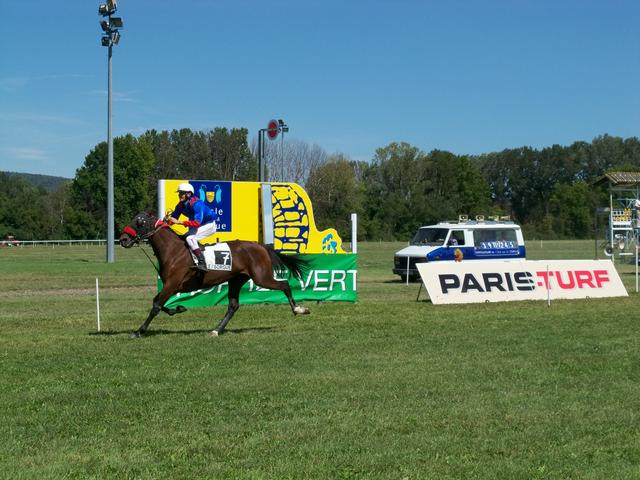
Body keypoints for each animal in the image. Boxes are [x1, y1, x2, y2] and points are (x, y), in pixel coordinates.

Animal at [120, 212, 312, 340]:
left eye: (139, 222)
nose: (122, 239)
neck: (174, 251)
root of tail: (261, 246)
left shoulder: (172, 284)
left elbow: (156, 306)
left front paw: (138, 331)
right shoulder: (172, 285)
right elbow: (157, 302)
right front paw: (179, 308)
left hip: (261, 277)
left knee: (284, 284)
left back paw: (299, 309)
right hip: (236, 280)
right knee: (233, 306)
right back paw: (216, 330)